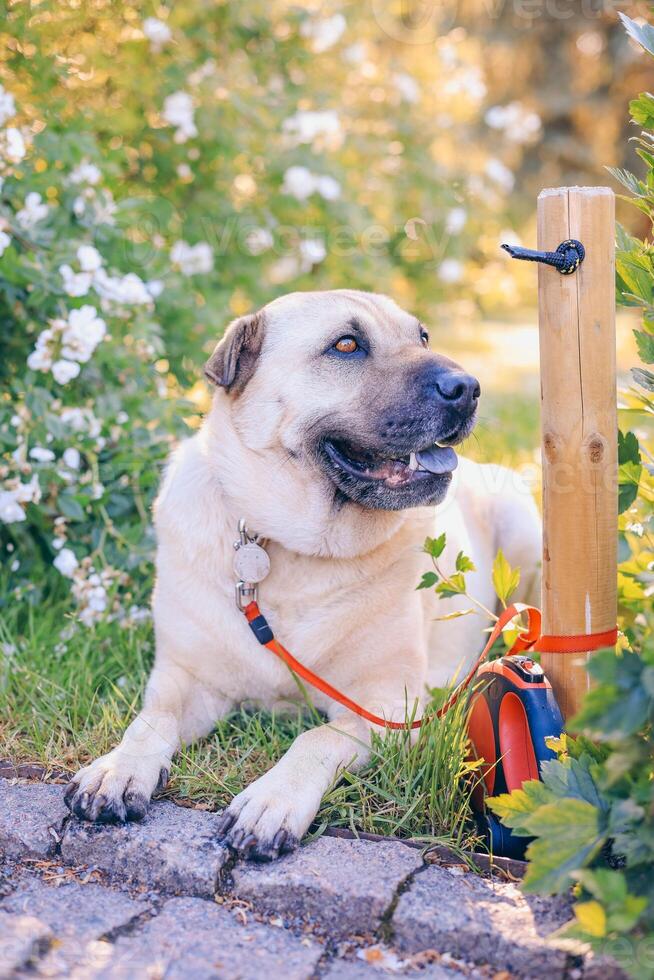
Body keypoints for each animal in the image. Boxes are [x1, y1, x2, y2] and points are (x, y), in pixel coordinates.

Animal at [64, 290, 540, 856]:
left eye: (422, 337)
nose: (468, 388)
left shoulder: (386, 705)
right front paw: (118, 769)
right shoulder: (188, 677)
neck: (293, 546)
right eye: (347, 345)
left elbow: (316, 737)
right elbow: (150, 719)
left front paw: (272, 799)